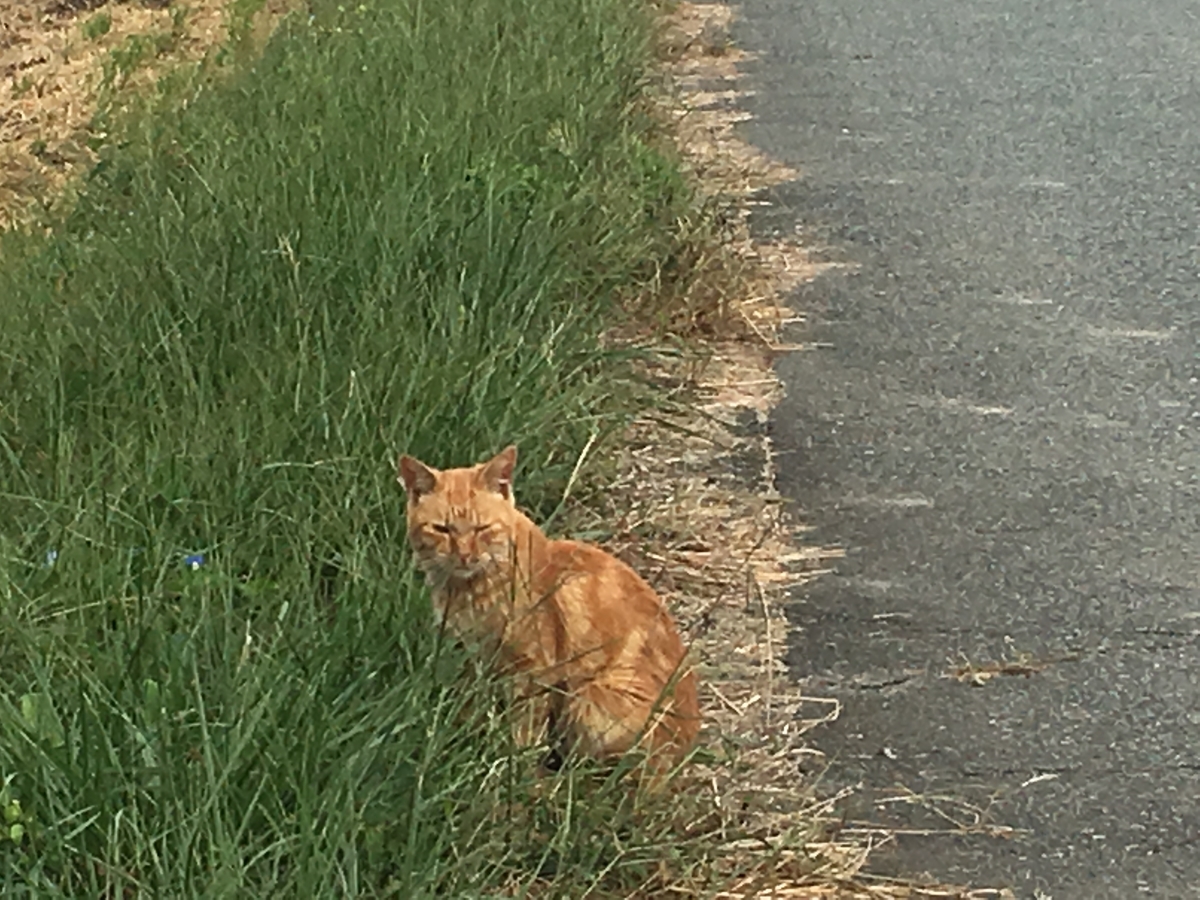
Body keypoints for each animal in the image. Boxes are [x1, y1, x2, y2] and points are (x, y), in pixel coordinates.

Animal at [398, 446, 700, 777]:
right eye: (441, 529)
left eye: (482, 528)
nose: (465, 555)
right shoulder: (470, 658)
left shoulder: (528, 670)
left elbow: (523, 731)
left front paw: (514, 769)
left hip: (590, 701)